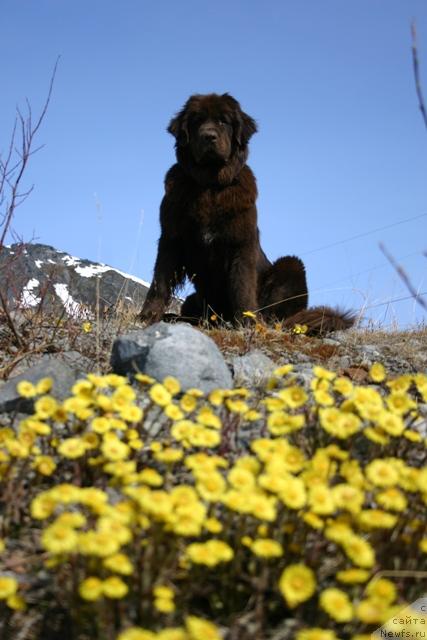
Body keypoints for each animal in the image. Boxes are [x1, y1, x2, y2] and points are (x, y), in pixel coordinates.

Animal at [140, 95, 354, 336]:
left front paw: (246, 323)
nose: (209, 136)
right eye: (197, 122)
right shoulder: (171, 238)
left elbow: (241, 287)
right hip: (194, 299)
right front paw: (148, 316)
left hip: (291, 265)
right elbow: (160, 281)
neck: (210, 186)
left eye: (223, 121)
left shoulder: (240, 245)